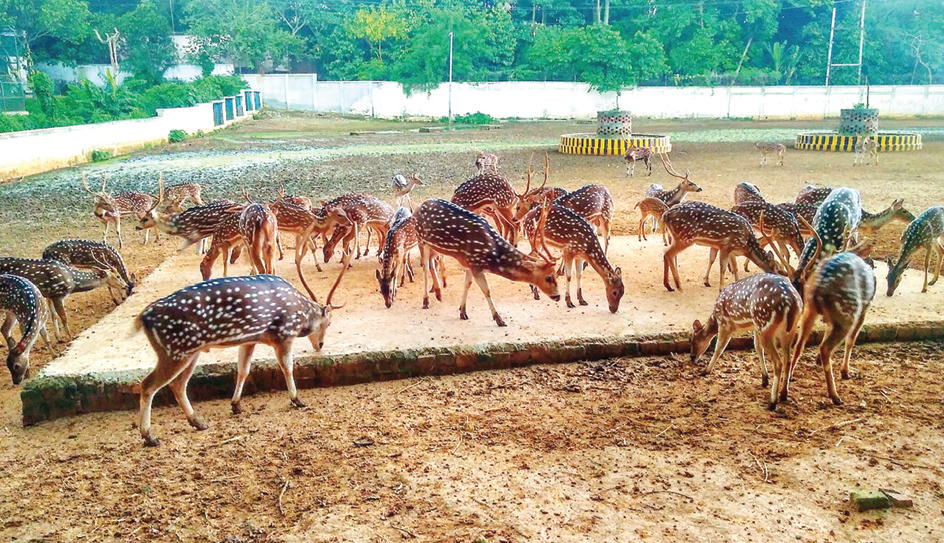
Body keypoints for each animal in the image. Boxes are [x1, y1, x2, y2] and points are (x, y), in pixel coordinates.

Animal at [135, 254, 352, 446]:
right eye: (329, 323)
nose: (320, 345)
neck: (300, 313)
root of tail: (142, 318)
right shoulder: (284, 335)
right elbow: (287, 367)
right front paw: (297, 400)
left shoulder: (249, 340)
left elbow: (243, 370)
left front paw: (236, 405)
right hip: (175, 351)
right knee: (148, 385)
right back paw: (149, 436)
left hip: (189, 352)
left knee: (178, 385)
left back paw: (198, 423)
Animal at [414, 200, 560, 328]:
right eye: (548, 277)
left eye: (556, 275)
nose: (558, 296)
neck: (492, 257)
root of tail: (419, 206)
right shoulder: (476, 265)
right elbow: (487, 290)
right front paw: (499, 319)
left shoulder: (469, 263)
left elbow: (467, 284)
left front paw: (462, 311)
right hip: (421, 240)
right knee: (425, 266)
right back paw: (426, 301)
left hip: (434, 247)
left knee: (431, 263)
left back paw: (438, 293)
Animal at [688, 274, 800, 406]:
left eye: (691, 339)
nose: (692, 357)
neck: (715, 318)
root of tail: (791, 302)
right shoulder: (755, 327)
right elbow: (757, 348)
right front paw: (764, 379)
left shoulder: (726, 324)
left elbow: (719, 347)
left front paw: (705, 370)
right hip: (786, 330)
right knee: (787, 360)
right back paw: (783, 395)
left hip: (765, 325)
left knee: (778, 362)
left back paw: (772, 401)